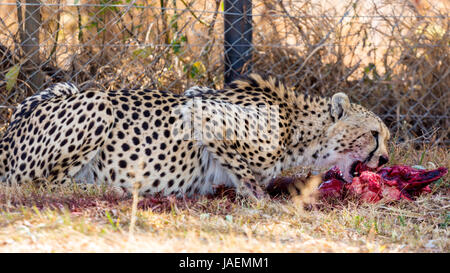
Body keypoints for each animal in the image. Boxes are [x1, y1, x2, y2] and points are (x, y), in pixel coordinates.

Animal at [0, 73, 388, 199]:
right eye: (375, 135)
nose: (385, 159)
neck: (299, 128)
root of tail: (7, 135)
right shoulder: (203, 112)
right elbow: (249, 178)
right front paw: (262, 201)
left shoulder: (197, 92)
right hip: (97, 102)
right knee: (39, 184)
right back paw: (109, 188)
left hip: (64, 88)